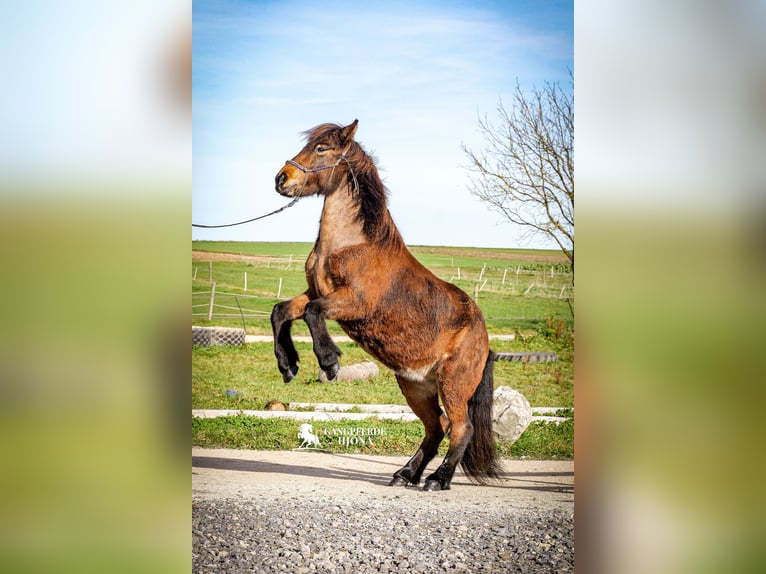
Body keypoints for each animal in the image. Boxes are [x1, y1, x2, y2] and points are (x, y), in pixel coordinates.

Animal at [271, 120, 500, 491]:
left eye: (321, 148)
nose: (282, 178)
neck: (353, 245)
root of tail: (484, 339)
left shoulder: (354, 302)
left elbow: (312, 313)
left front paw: (330, 362)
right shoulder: (313, 291)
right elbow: (282, 311)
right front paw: (288, 365)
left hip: (453, 384)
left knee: (461, 428)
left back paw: (437, 479)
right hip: (415, 385)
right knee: (437, 426)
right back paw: (405, 474)